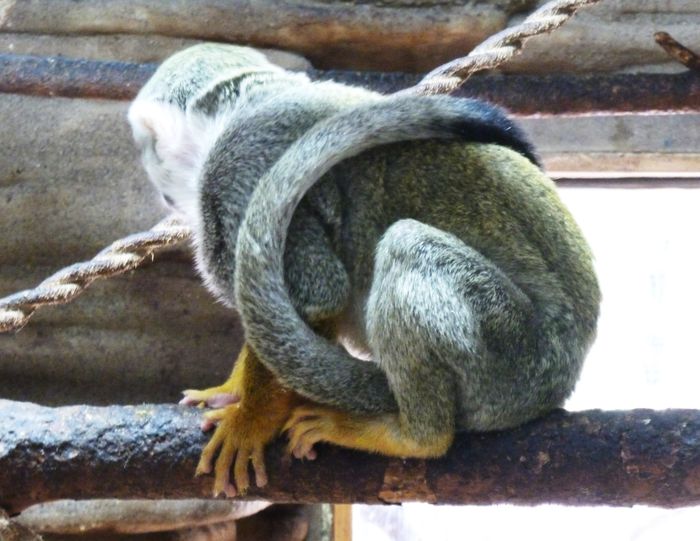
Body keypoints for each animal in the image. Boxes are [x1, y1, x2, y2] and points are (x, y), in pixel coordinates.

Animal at [129, 44, 600, 496]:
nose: (157, 184)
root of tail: (563, 380)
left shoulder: (239, 163)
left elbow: (318, 295)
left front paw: (252, 421)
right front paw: (234, 391)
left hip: (516, 362)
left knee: (407, 247)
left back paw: (415, 436)